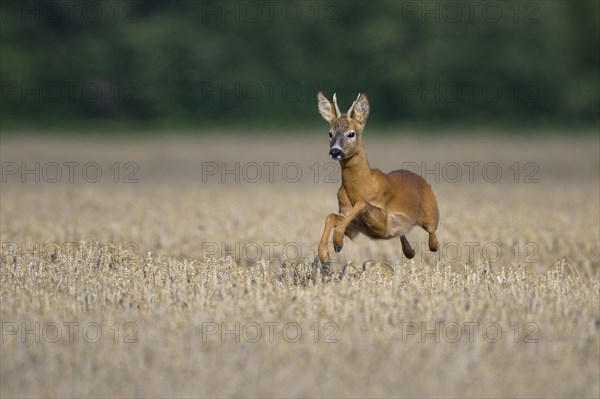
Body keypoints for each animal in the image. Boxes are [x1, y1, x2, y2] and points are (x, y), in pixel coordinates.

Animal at [316, 92, 438, 268]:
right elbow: (331, 216)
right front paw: (325, 255)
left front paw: (337, 242)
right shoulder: (354, 226)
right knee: (403, 234)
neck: (362, 185)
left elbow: (361, 204)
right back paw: (410, 251)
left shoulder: (382, 221)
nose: (335, 151)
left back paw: (429, 246)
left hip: (431, 214)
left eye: (351, 133)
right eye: (330, 133)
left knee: (433, 236)